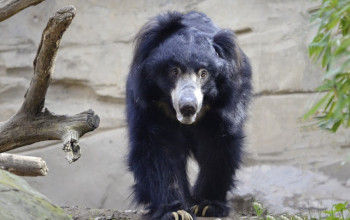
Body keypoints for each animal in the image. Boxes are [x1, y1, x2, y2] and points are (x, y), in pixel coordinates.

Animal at [126, 10, 252, 220]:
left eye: (204, 73)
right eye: (173, 71)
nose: (188, 107)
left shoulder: (223, 104)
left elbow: (217, 145)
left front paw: (206, 205)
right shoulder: (150, 103)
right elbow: (158, 147)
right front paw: (175, 211)